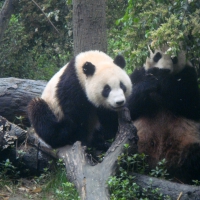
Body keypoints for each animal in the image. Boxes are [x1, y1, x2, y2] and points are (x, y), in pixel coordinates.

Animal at [127, 47, 200, 183]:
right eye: (157, 56)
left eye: (174, 57)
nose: (164, 70)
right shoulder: (138, 74)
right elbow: (128, 105)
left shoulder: (189, 75)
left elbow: (192, 105)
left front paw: (161, 79)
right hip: (139, 141)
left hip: (186, 141)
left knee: (194, 155)